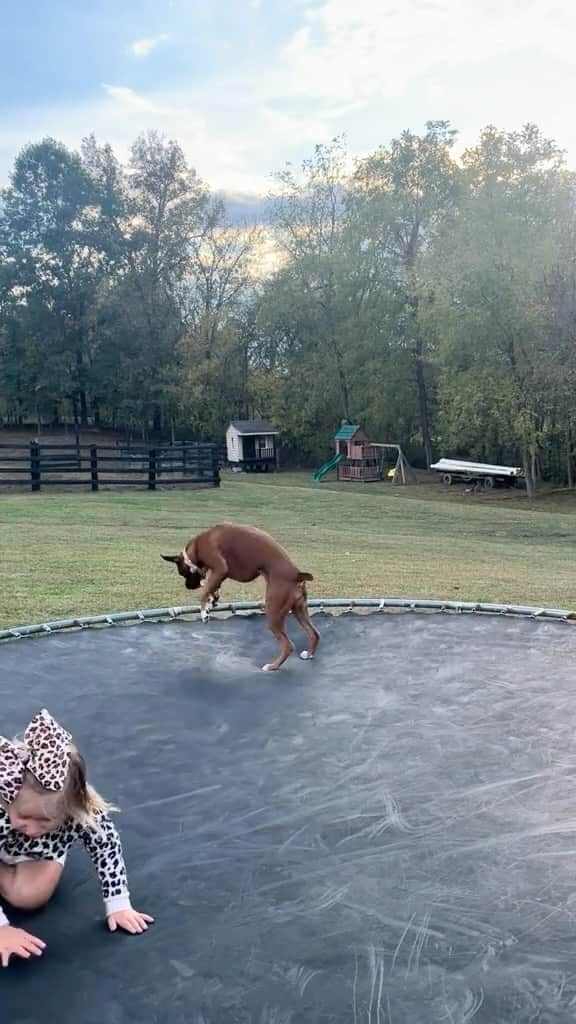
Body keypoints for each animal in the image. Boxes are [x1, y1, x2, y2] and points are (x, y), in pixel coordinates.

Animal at [161, 520, 317, 671]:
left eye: (182, 573)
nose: (188, 586)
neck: (198, 544)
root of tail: (296, 575)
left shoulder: (220, 568)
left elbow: (205, 591)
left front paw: (204, 612)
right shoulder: (220, 575)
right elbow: (212, 587)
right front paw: (212, 599)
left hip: (274, 610)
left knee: (288, 645)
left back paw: (272, 666)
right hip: (299, 609)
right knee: (314, 633)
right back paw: (308, 654)